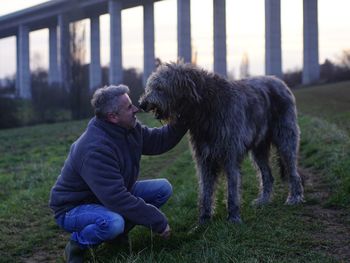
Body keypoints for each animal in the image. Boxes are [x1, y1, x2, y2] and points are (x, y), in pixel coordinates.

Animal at [138, 62, 302, 225]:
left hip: (286, 137)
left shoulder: (230, 153)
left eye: (160, 87)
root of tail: (280, 82)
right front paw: (203, 221)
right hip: (259, 148)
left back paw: (295, 197)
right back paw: (264, 200)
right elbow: (205, 191)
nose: (142, 104)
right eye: (150, 87)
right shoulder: (204, 158)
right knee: (267, 175)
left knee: (293, 170)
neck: (207, 107)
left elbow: (232, 189)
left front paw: (234, 218)